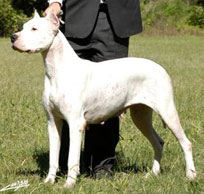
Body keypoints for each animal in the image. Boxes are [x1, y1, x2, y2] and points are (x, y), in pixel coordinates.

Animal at [10, 11, 196, 188]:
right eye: (23, 27)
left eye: (34, 29)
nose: (13, 37)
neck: (56, 71)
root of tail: (160, 68)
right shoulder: (53, 122)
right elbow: (53, 157)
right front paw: (49, 181)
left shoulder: (75, 124)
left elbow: (72, 159)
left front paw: (69, 184)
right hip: (140, 115)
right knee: (158, 142)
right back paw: (153, 173)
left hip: (167, 111)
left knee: (185, 143)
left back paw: (191, 175)